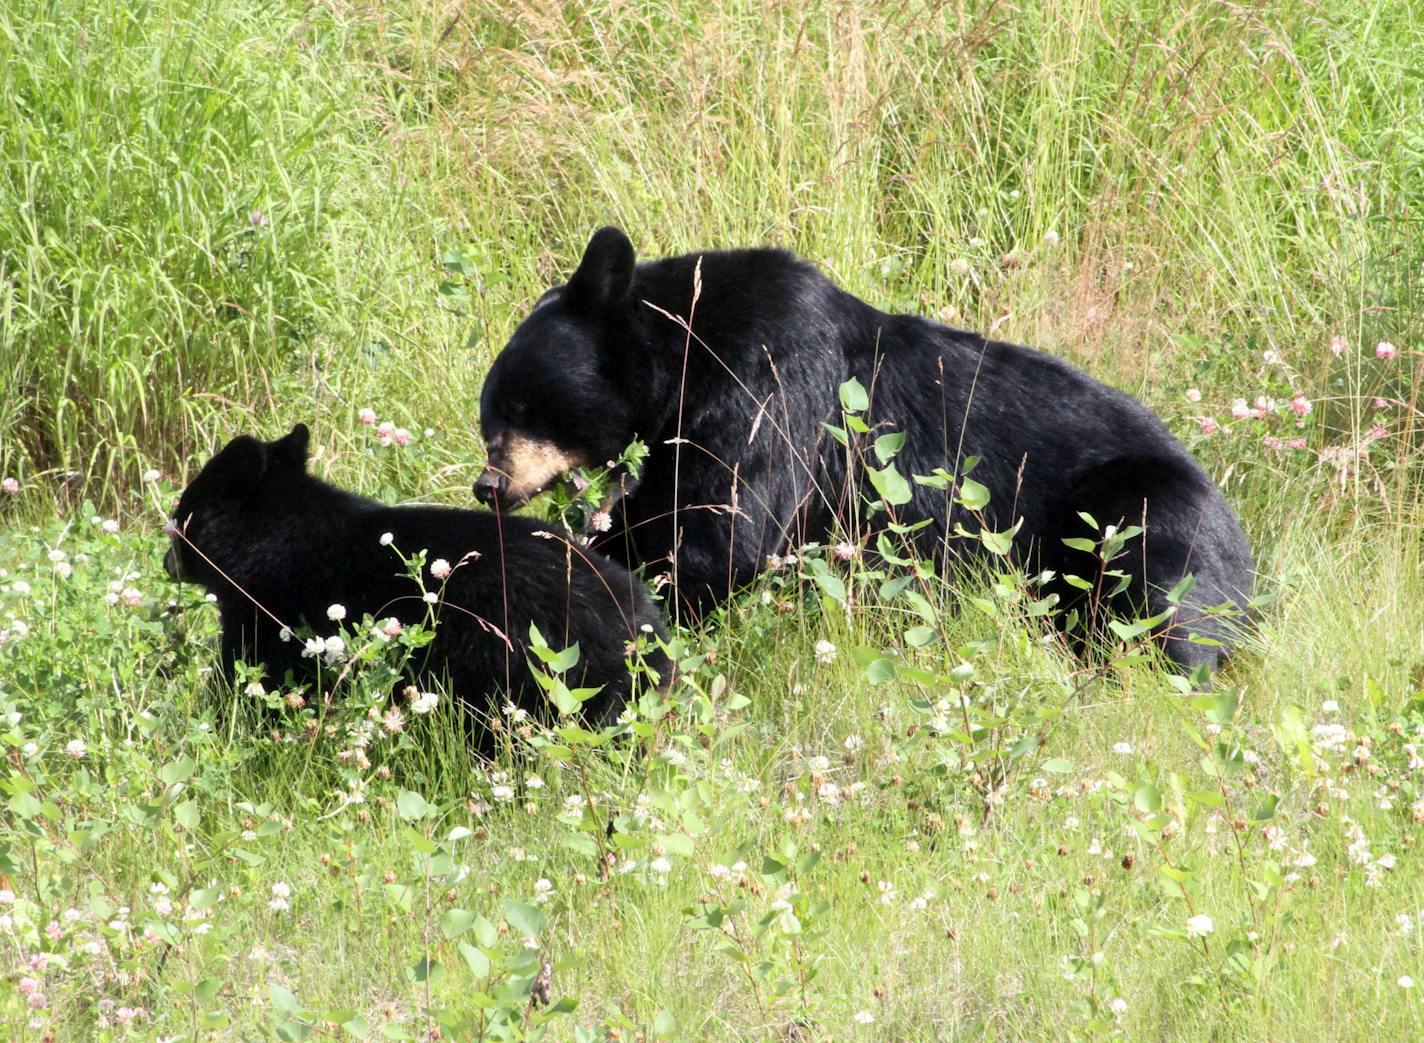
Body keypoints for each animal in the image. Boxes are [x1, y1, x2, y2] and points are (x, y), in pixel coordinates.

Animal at [165, 421, 666, 723]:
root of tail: (642, 626)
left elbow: (249, 677)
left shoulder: (270, 609)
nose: (168, 562)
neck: (267, 536)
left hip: (521, 662)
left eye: (179, 518)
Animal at [472, 226, 1253, 666]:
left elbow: (719, 528)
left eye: (521, 406)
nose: (490, 485)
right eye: (489, 417)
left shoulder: (770, 382)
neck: (686, 348)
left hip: (1141, 511)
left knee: (1160, 593)